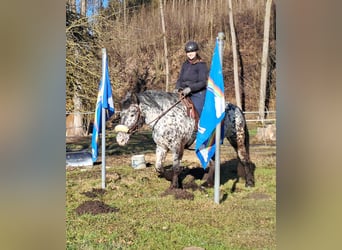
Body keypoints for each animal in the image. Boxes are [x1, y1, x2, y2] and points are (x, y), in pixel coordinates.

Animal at [115, 90, 254, 189]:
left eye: (132, 114)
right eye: (120, 114)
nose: (120, 139)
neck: (166, 118)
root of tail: (236, 109)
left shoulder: (177, 146)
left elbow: (176, 167)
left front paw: (174, 186)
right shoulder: (161, 147)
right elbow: (158, 166)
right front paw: (169, 177)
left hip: (237, 139)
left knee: (244, 158)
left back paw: (249, 183)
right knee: (213, 162)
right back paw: (207, 183)